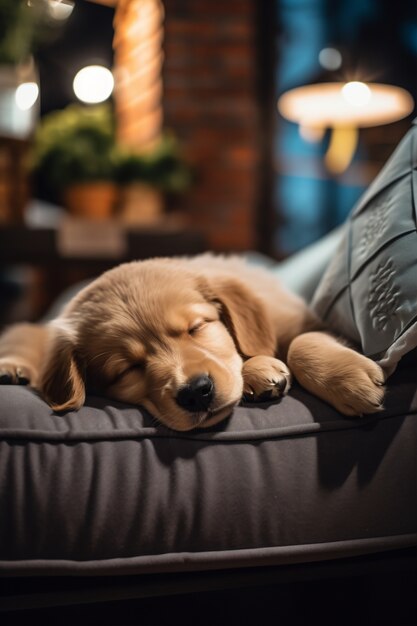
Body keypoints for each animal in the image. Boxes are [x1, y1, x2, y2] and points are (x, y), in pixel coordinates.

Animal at [0, 254, 386, 428]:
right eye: (127, 370)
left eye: (196, 327)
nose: (196, 393)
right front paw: (260, 371)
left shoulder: (303, 319)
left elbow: (300, 342)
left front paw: (351, 383)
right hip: (28, 332)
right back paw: (11, 370)